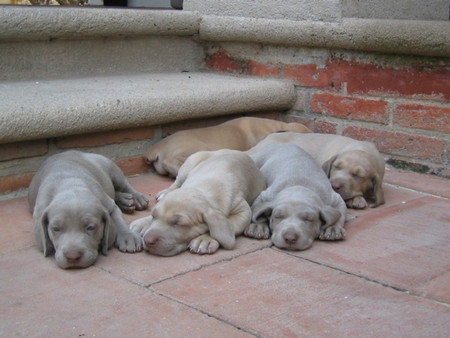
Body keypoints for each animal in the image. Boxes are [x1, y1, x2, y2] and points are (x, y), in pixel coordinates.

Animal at [130, 149, 266, 258]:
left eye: (178, 223)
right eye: (154, 216)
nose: (147, 240)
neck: (203, 188)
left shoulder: (243, 211)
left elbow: (227, 225)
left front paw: (204, 240)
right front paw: (142, 223)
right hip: (189, 163)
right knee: (177, 182)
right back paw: (166, 192)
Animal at [248, 133, 384, 209]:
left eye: (358, 176)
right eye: (336, 167)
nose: (334, 186)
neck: (362, 149)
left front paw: (357, 199)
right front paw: (357, 199)